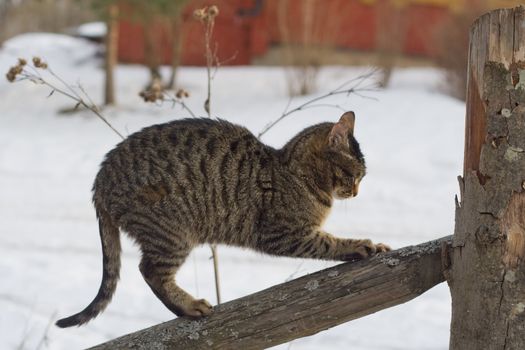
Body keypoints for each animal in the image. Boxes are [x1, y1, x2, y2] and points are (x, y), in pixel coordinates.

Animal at [55, 112, 388, 328]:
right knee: (149, 271)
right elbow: (328, 242)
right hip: (173, 231)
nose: (356, 192)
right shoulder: (284, 233)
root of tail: (100, 180)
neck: (294, 171)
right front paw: (360, 245)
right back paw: (189, 307)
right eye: (355, 176)